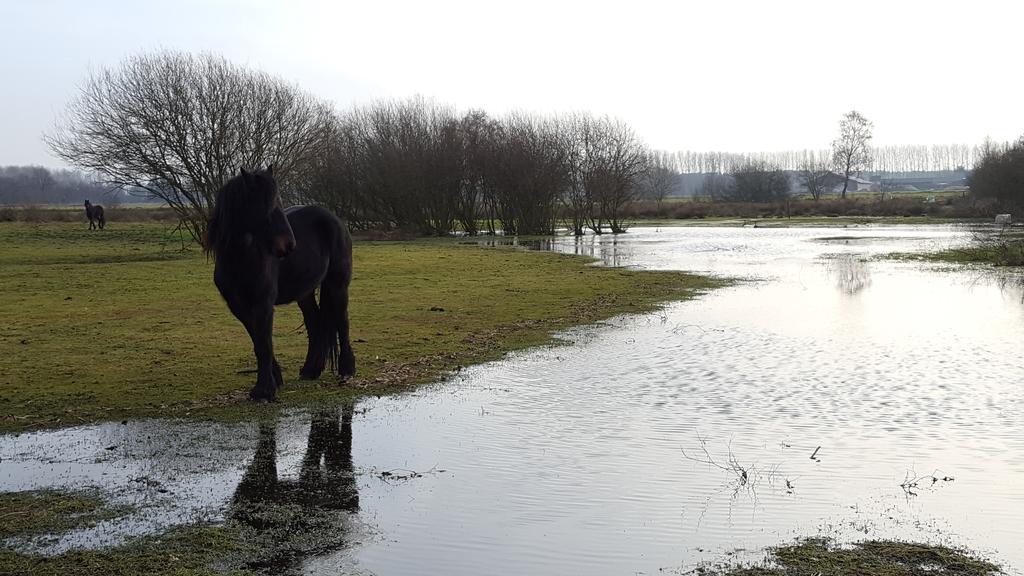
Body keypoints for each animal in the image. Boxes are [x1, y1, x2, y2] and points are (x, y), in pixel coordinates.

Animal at [207, 166, 356, 399]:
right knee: (315, 323)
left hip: (337, 285)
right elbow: (257, 341)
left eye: (279, 201)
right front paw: (274, 380)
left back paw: (347, 369)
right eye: (265, 204)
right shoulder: (239, 307)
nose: (288, 245)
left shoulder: (263, 304)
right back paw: (310, 370)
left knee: (342, 321)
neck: (241, 259)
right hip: (305, 292)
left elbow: (264, 345)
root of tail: (335, 219)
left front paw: (264, 390)